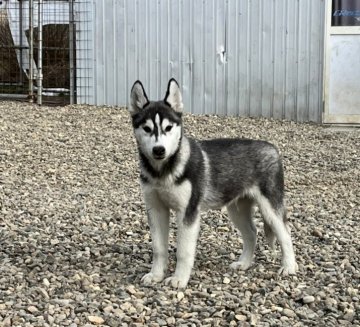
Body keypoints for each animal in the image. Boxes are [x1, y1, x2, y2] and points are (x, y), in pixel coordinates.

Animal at [128, 79, 296, 290]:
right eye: (147, 129)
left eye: (168, 128)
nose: (159, 150)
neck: (162, 172)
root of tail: (272, 148)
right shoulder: (156, 209)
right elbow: (158, 248)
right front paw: (156, 275)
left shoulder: (188, 213)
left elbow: (183, 251)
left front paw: (179, 279)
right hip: (237, 209)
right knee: (252, 233)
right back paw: (244, 263)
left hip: (270, 208)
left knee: (285, 233)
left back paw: (289, 266)